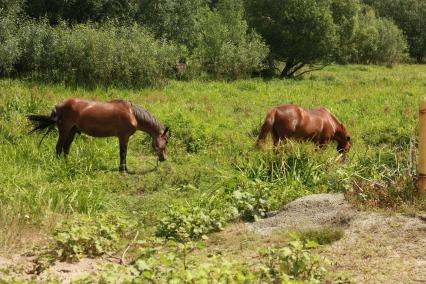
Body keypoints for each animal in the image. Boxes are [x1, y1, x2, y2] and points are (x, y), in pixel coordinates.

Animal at [26, 97, 170, 173]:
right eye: (166, 141)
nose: (164, 158)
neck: (133, 114)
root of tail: (59, 106)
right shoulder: (124, 137)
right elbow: (123, 153)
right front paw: (123, 170)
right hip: (64, 130)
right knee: (59, 147)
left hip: (72, 131)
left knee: (66, 148)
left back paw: (66, 164)